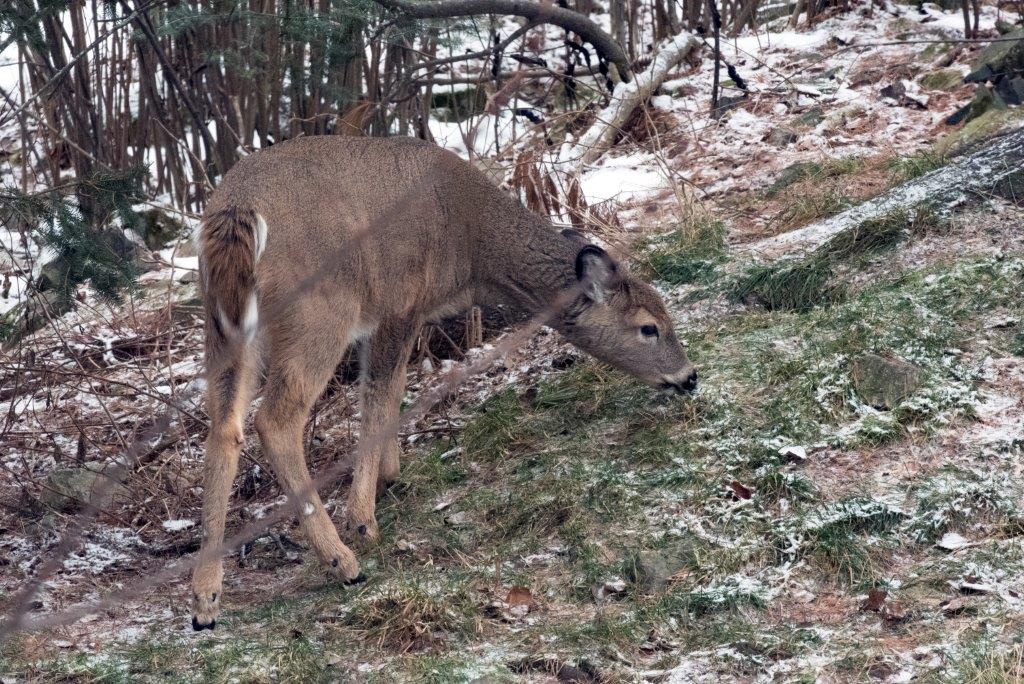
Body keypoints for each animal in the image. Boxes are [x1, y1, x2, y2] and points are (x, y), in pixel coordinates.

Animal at [190, 136, 697, 630]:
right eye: (649, 327)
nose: (689, 377)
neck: (472, 247)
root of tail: (235, 211)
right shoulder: (399, 302)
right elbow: (379, 393)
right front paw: (364, 519)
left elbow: (392, 388)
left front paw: (389, 474)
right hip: (320, 312)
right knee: (275, 421)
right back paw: (342, 561)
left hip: (225, 326)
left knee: (224, 426)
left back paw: (205, 601)